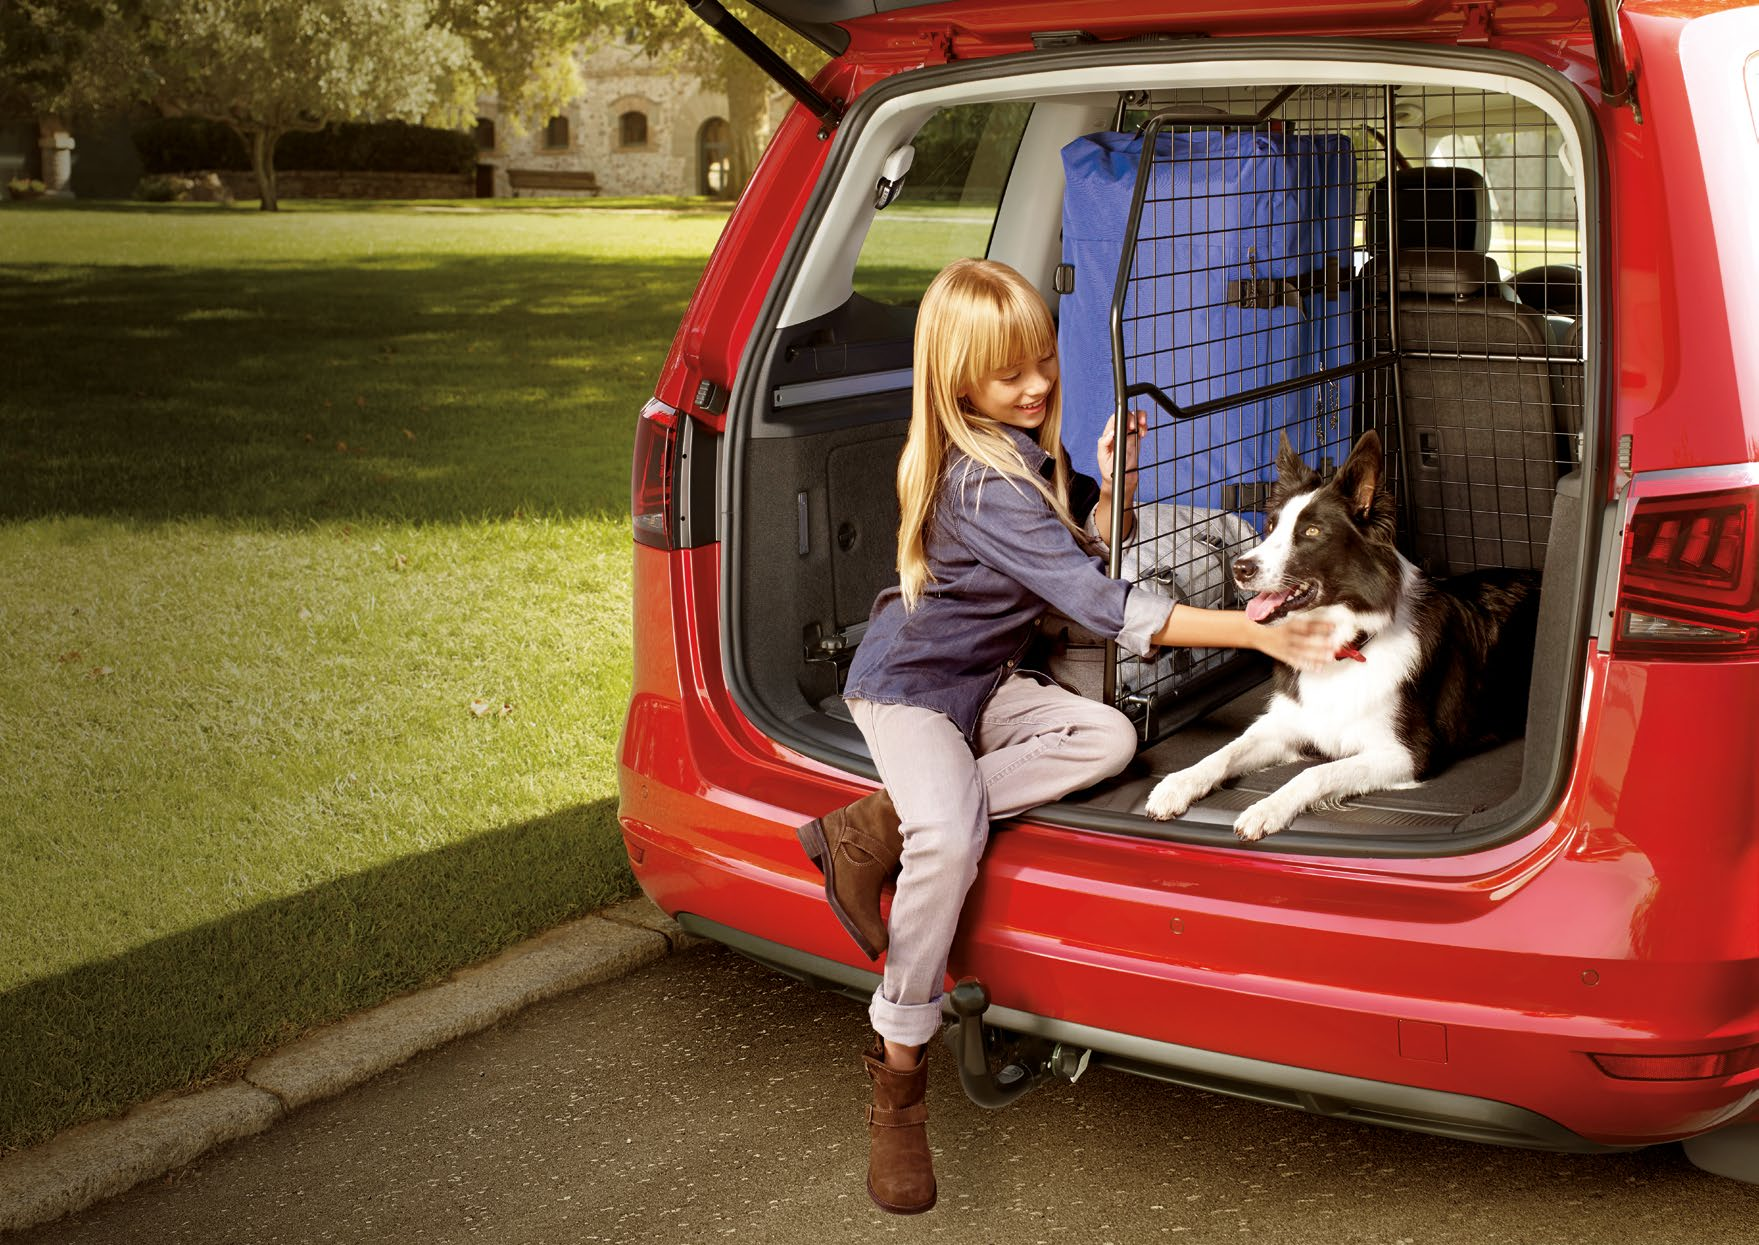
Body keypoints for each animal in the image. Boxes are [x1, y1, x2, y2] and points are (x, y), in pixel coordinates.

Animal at [1139, 430, 1540, 847]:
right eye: (1271, 525)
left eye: (1312, 532)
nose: (1239, 568)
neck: (1346, 643)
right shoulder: (1285, 724)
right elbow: (1225, 752)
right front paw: (1178, 783)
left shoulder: (1406, 753)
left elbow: (1315, 772)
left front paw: (1266, 809)